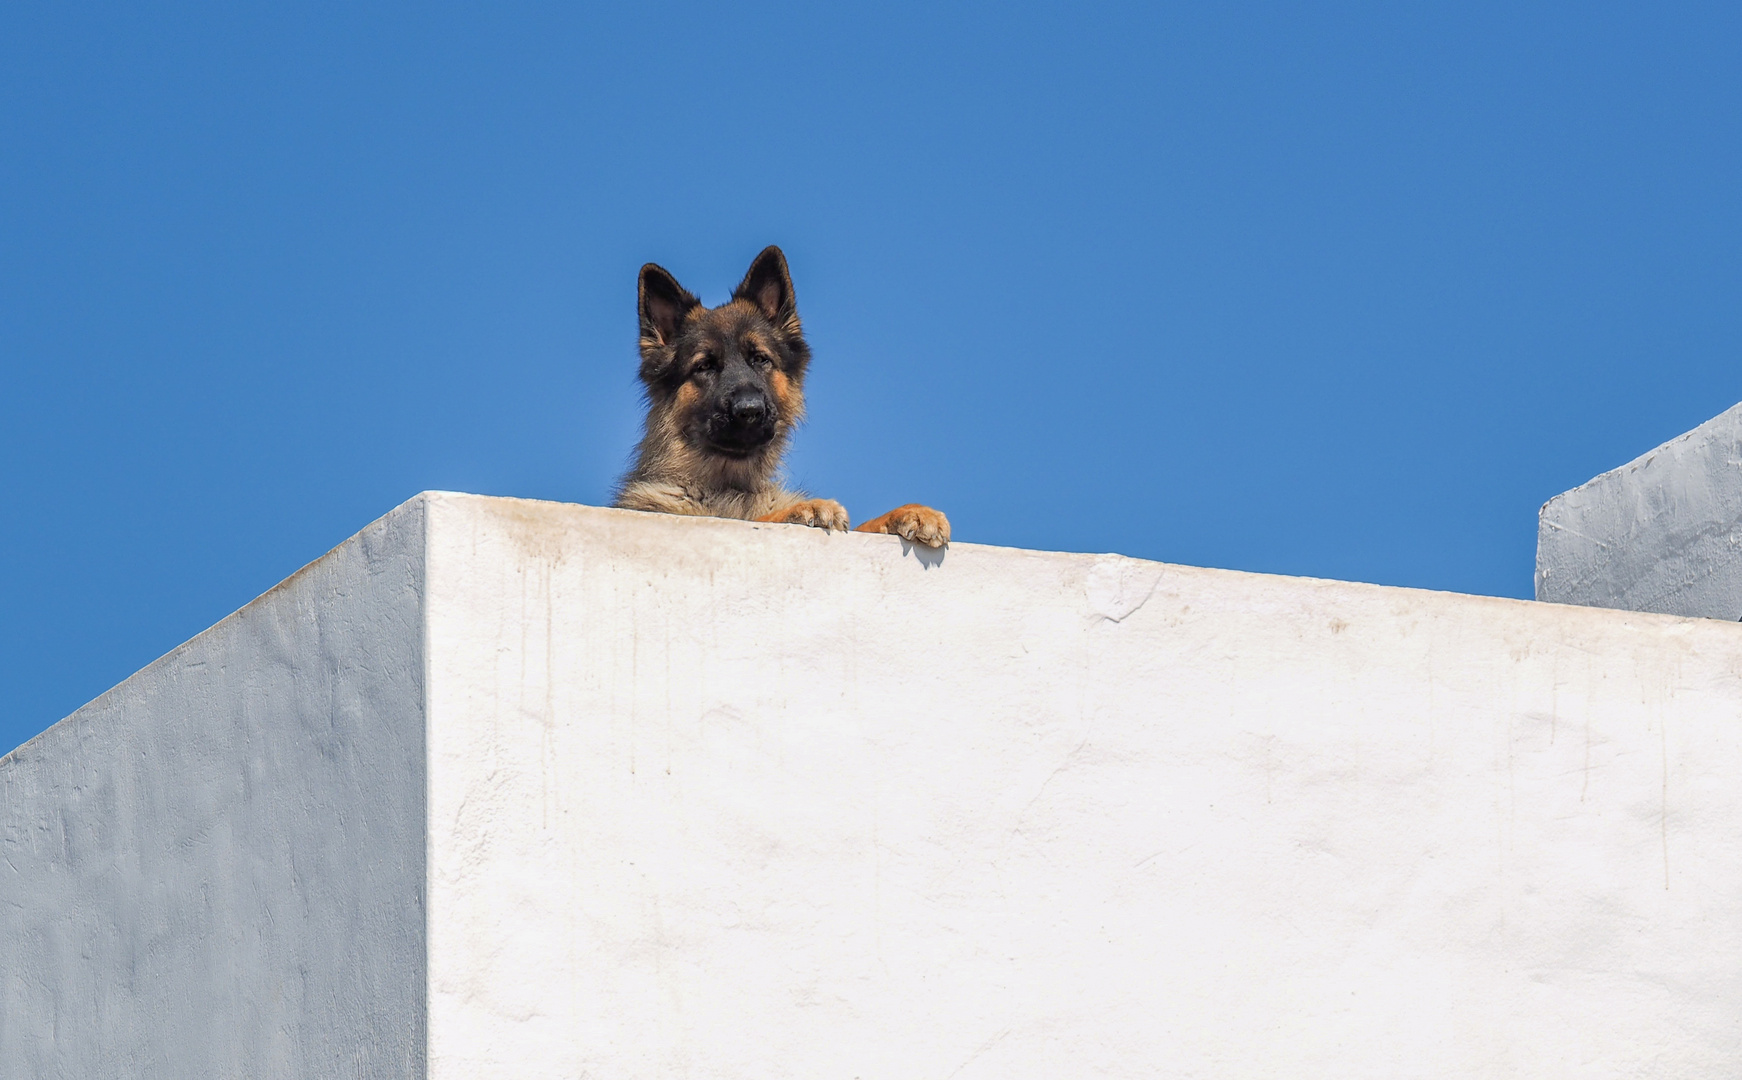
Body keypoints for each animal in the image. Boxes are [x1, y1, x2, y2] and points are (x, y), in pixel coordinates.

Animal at [606, 245, 947, 546]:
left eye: (760, 359)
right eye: (704, 366)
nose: (749, 410)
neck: (732, 485)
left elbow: (863, 525)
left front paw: (909, 513)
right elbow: (758, 518)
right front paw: (802, 507)